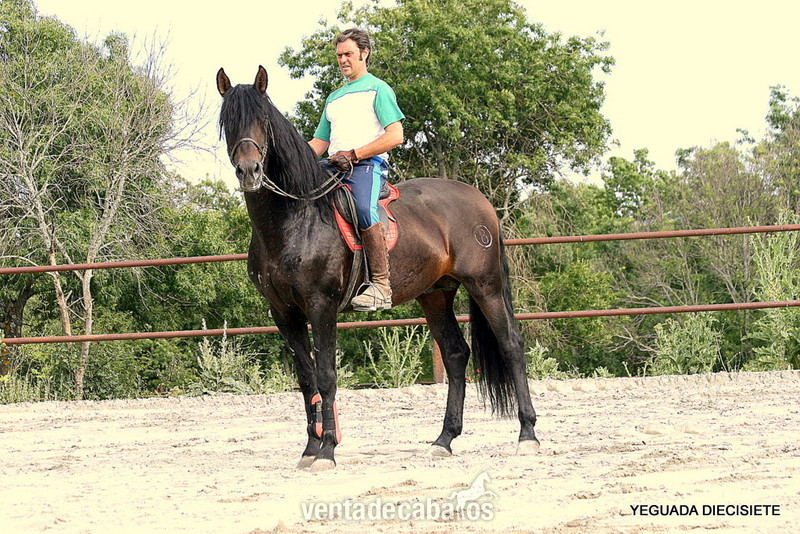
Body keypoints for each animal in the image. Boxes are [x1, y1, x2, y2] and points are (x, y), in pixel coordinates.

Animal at [216, 66, 539, 471]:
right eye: (227, 122)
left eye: (263, 120)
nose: (249, 171)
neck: (297, 217)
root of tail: (480, 200)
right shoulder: (284, 313)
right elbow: (306, 379)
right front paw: (309, 448)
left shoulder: (321, 306)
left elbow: (326, 376)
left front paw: (327, 450)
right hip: (435, 294)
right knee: (454, 355)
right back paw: (444, 440)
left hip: (486, 285)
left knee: (511, 344)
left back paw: (527, 435)